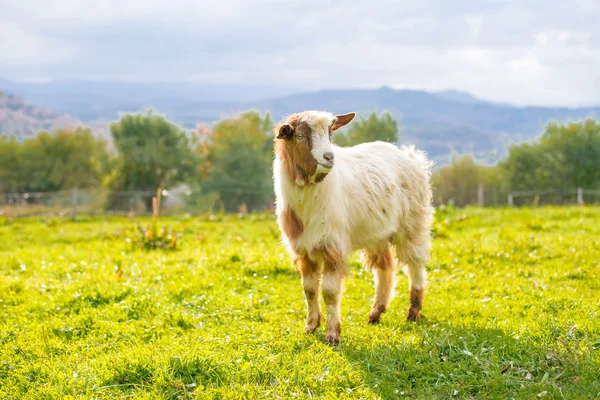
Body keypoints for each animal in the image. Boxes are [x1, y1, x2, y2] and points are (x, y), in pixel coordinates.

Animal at [274, 110, 434, 344]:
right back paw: (376, 312)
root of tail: (410, 156)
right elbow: (309, 289)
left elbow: (329, 291)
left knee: (415, 264)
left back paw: (413, 312)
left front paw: (332, 334)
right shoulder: (303, 248)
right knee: (385, 266)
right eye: (299, 136)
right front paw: (311, 326)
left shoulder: (332, 245)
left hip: (412, 224)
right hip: (377, 233)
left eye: (330, 133)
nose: (329, 157)